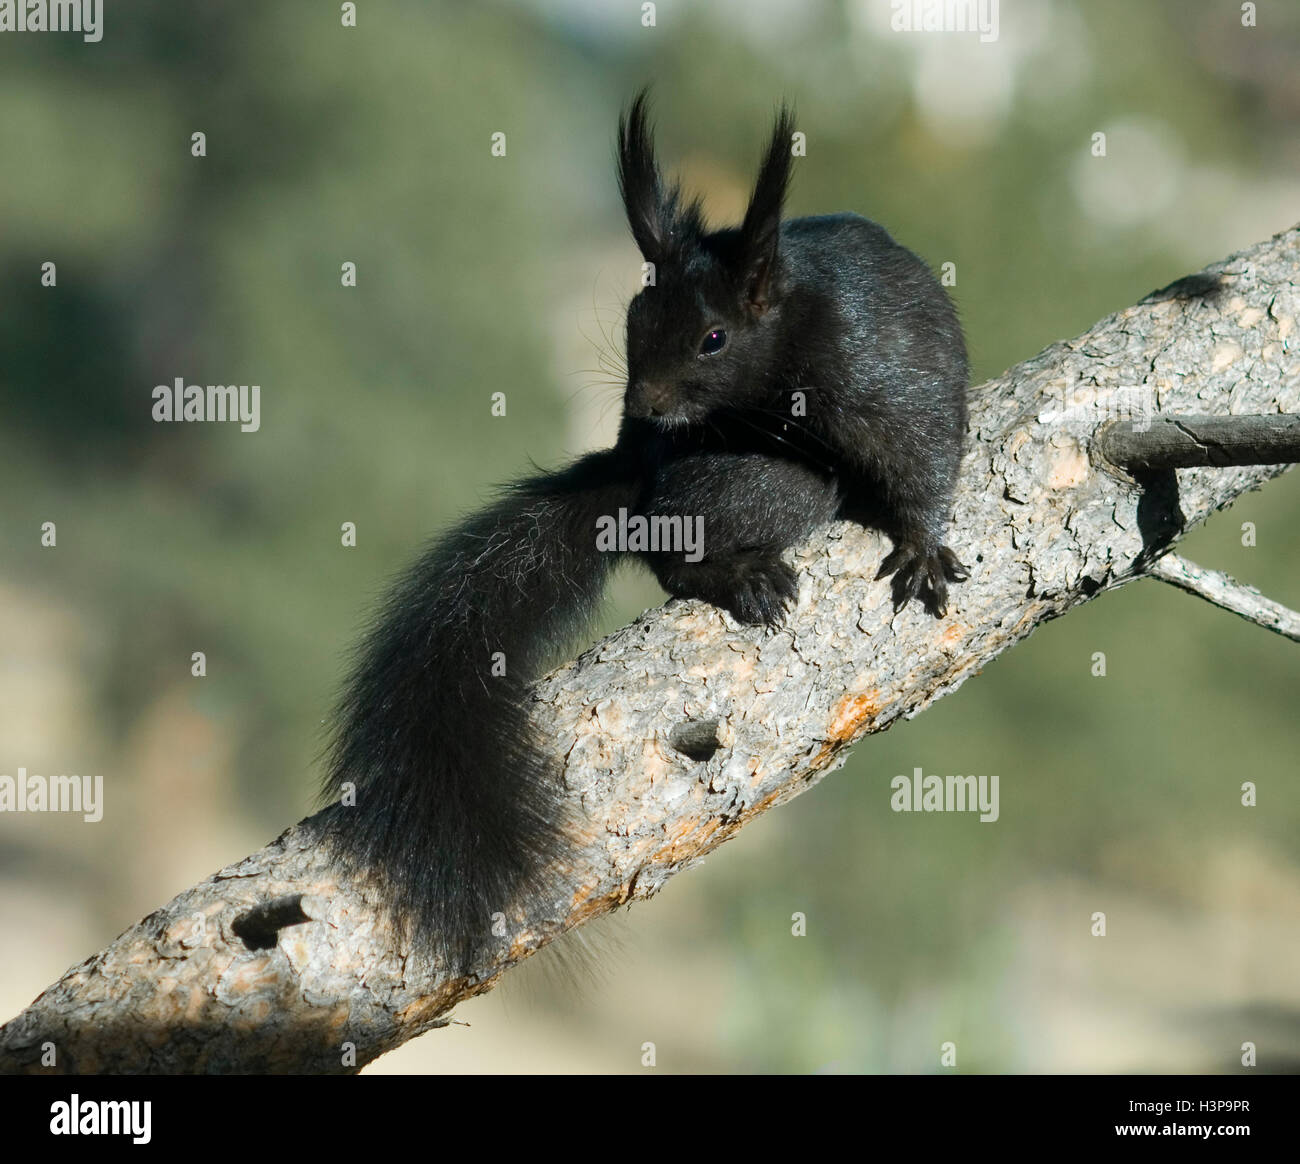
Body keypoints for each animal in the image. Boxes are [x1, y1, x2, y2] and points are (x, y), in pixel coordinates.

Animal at [322, 92, 969, 971]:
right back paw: (736, 574)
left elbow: (923, 457)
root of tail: (633, 463)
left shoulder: (887, 375)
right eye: (632, 318)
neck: (789, 344)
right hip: (740, 482)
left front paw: (925, 550)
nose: (644, 405)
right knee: (666, 540)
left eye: (713, 338)